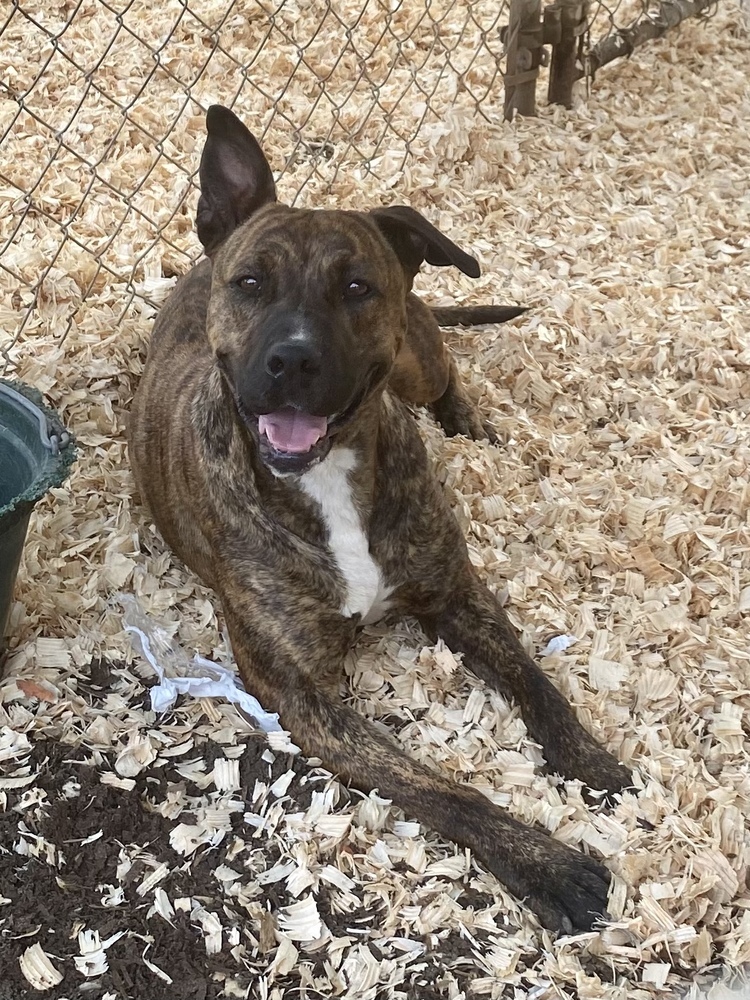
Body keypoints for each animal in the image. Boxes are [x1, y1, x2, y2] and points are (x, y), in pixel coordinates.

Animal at [131, 105, 636, 932]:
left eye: (357, 287)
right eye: (251, 283)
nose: (292, 360)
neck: (330, 479)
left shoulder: (457, 593)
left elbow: (536, 681)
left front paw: (586, 757)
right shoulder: (304, 696)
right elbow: (443, 789)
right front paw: (550, 866)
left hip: (414, 359)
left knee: (448, 374)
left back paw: (470, 425)